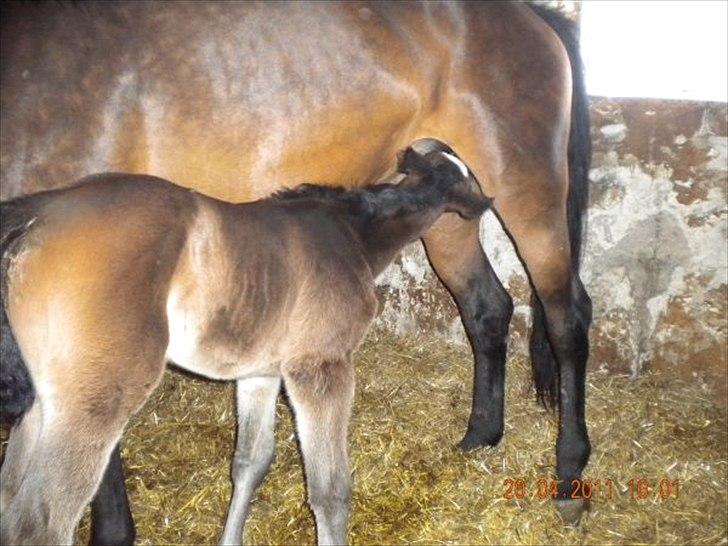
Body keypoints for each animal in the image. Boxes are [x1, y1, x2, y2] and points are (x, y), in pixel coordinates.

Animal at [1, 141, 490, 544]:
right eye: (466, 175)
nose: (487, 204)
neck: (351, 234)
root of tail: (42, 212)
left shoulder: (259, 374)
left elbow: (250, 463)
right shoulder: (320, 368)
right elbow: (330, 491)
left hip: (46, 404)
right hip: (92, 406)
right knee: (41, 524)